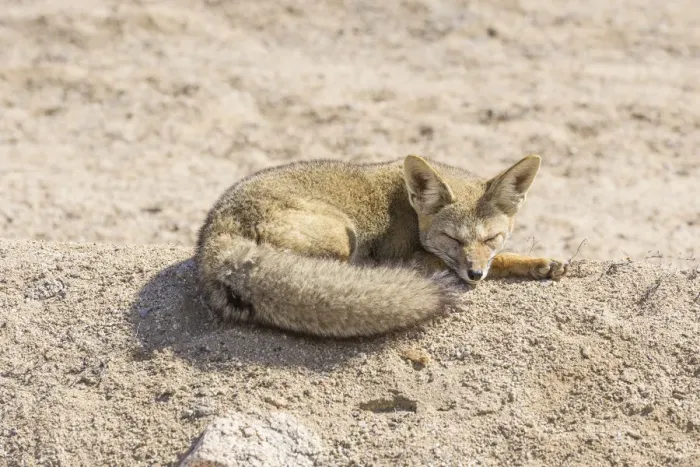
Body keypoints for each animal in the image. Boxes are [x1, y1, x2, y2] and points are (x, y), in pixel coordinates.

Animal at [195, 154, 568, 338]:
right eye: (453, 239)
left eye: (490, 238)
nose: (475, 274)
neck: (410, 207)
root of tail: (216, 234)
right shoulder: (412, 255)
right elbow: (458, 263)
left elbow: (500, 258)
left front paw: (539, 263)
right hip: (343, 235)